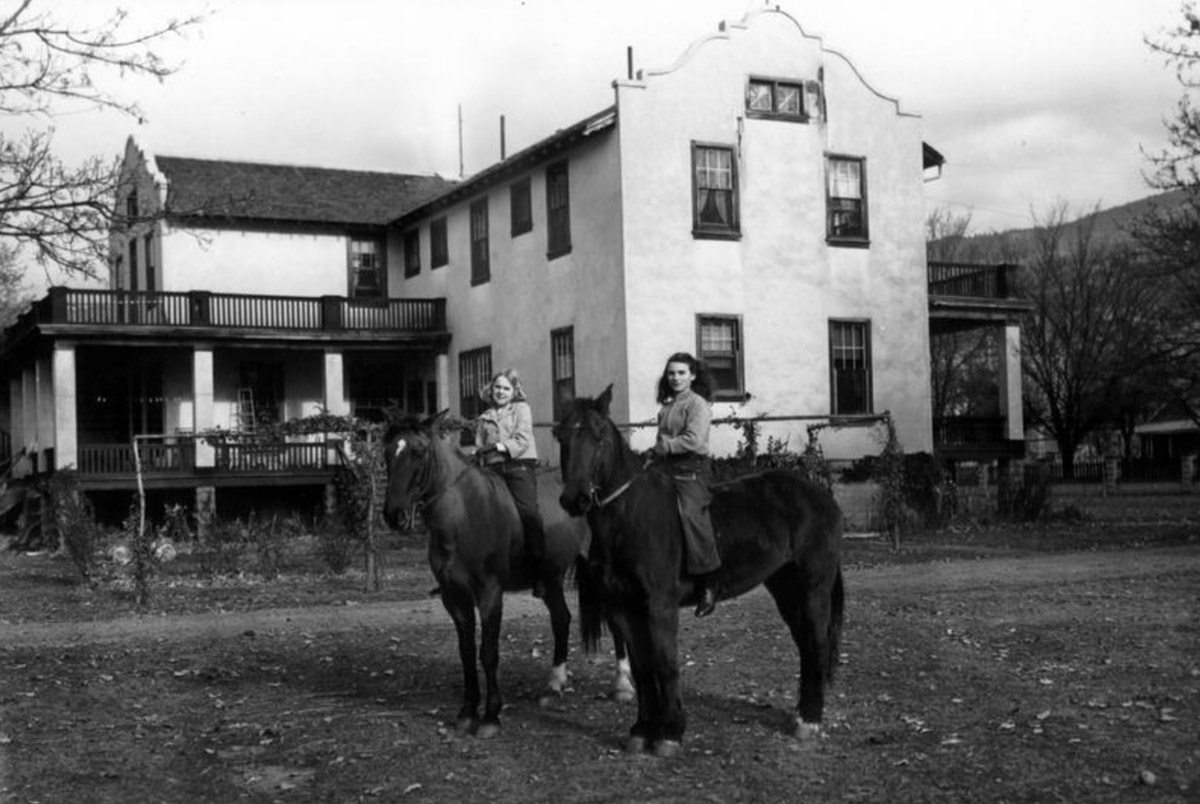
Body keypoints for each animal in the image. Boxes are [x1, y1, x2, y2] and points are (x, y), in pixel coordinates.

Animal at [381, 412, 628, 739]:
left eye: (418, 451)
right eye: (387, 452)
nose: (393, 515)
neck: (466, 513)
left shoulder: (489, 593)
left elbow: (488, 652)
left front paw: (490, 717)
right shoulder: (454, 597)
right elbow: (466, 651)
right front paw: (467, 713)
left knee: (616, 623)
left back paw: (622, 685)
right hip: (550, 580)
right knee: (561, 619)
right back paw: (555, 684)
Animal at [554, 386, 844, 758]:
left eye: (598, 436)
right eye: (561, 435)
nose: (573, 499)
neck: (628, 516)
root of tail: (820, 495)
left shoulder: (660, 606)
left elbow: (665, 664)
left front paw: (670, 733)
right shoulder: (624, 608)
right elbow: (642, 668)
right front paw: (641, 730)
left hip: (813, 588)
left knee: (817, 643)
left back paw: (810, 720)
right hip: (785, 588)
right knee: (805, 644)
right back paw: (802, 714)